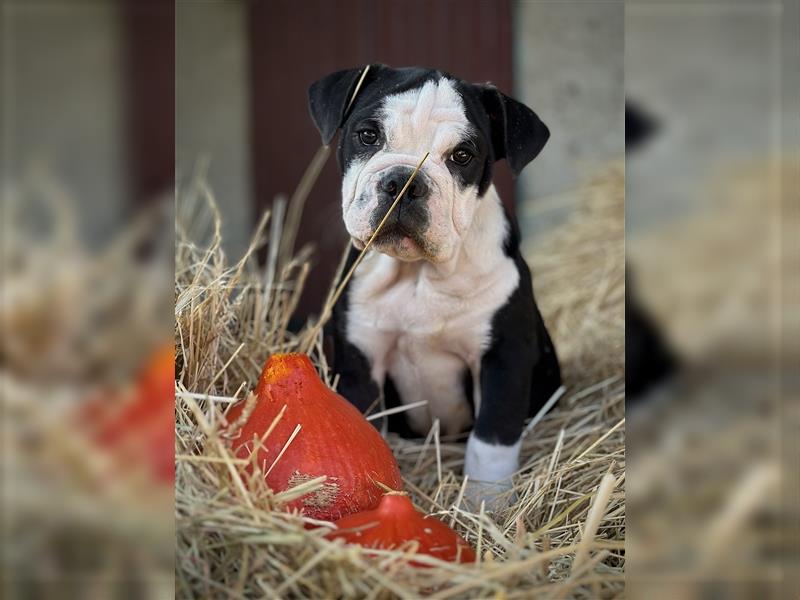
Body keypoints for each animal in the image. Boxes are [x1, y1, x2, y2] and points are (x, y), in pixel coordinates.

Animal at [310, 63, 560, 500]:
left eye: (462, 156)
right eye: (368, 135)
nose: (404, 182)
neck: (418, 274)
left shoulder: (502, 357)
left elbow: (490, 442)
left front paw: (486, 503)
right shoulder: (361, 358)